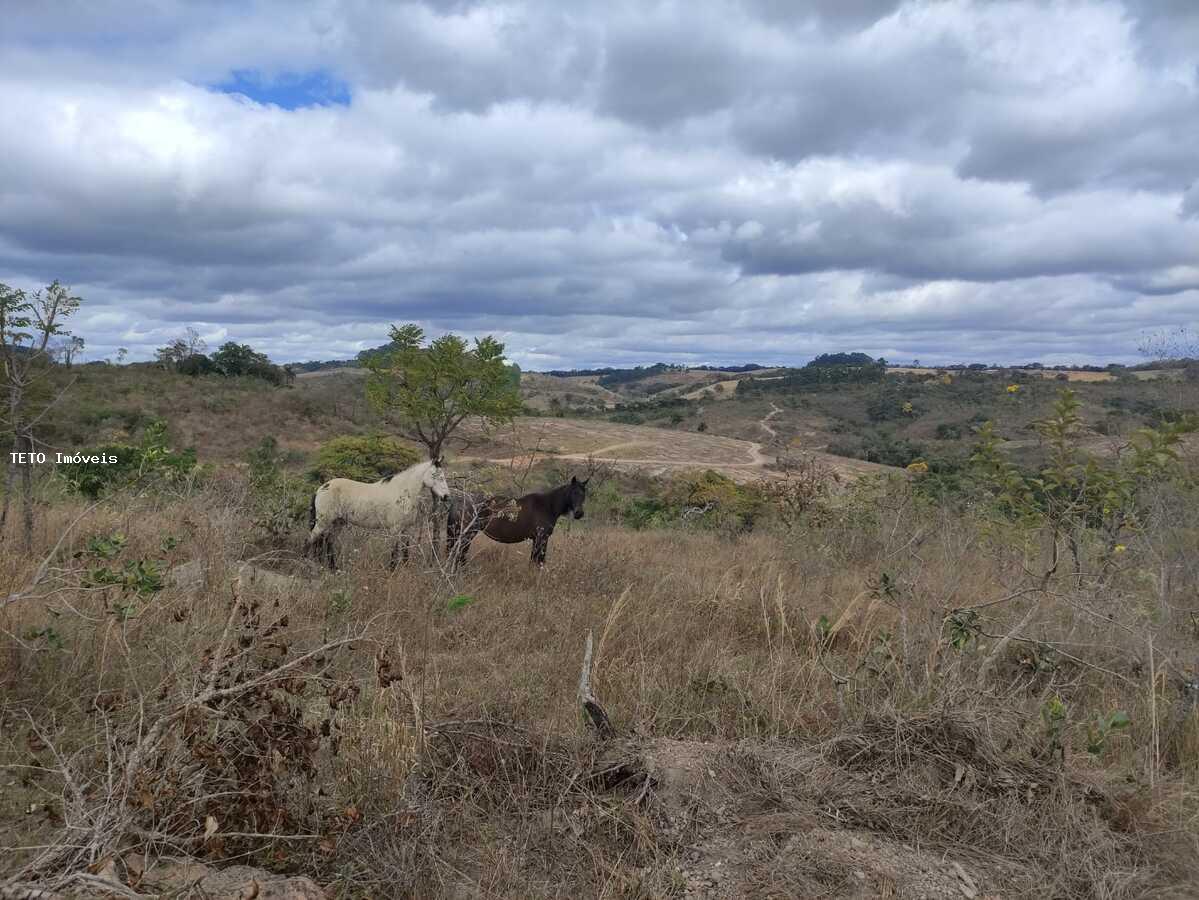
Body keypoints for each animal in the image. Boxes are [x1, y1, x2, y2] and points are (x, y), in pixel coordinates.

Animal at [309, 457, 450, 570]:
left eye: (442, 476)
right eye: (435, 475)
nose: (446, 496)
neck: (402, 492)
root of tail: (322, 488)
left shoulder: (407, 529)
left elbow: (405, 550)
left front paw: (405, 569)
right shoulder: (395, 529)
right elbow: (394, 551)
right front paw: (392, 570)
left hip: (338, 522)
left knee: (328, 541)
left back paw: (333, 568)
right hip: (323, 523)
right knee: (310, 540)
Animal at [446, 479, 589, 570]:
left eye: (584, 494)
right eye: (574, 492)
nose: (579, 513)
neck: (547, 506)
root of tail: (459, 500)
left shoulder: (536, 539)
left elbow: (534, 560)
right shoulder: (541, 538)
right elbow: (539, 560)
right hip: (466, 535)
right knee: (459, 555)